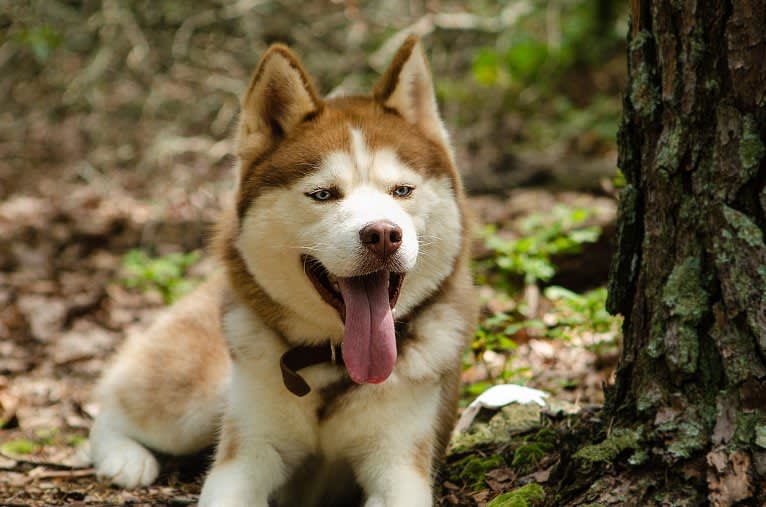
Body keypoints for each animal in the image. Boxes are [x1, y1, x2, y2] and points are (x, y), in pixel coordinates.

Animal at [88, 36, 474, 507]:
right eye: (323, 194)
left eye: (402, 191)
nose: (383, 235)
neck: (332, 362)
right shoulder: (248, 453)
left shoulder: (399, 462)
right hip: (197, 404)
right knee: (112, 406)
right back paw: (124, 457)